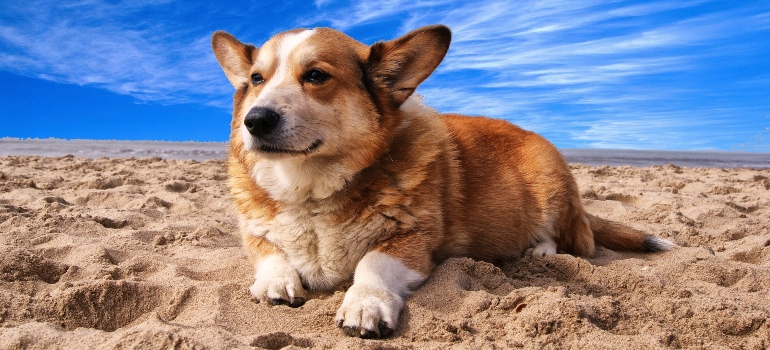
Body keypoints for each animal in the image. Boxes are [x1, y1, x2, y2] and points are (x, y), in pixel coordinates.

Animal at [210, 24, 672, 340]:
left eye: (316, 76)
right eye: (256, 80)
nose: (255, 121)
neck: (308, 187)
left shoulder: (412, 241)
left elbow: (371, 263)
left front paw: (364, 305)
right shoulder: (254, 230)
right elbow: (270, 253)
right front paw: (275, 281)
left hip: (550, 184)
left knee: (564, 236)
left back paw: (540, 251)